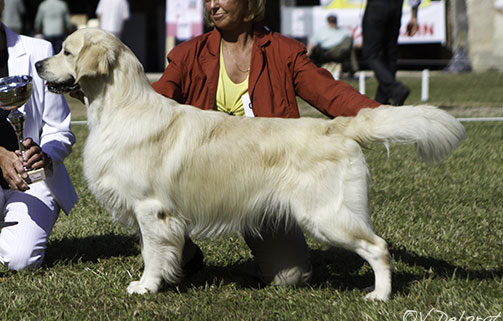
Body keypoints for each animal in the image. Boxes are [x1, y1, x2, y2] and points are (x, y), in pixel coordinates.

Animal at [37, 28, 466, 300]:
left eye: (66, 51)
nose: (38, 65)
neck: (121, 107)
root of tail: (337, 127)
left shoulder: (151, 208)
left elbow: (152, 253)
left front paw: (147, 287)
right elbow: (156, 250)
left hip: (326, 215)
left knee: (378, 247)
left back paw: (379, 295)